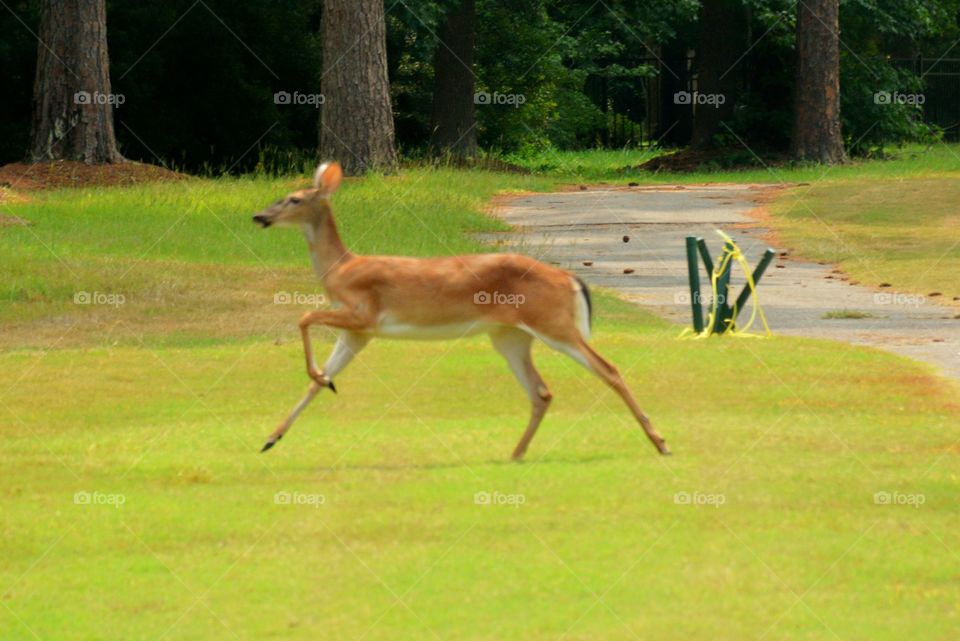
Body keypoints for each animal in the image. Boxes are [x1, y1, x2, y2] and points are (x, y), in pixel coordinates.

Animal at [251, 161, 672, 460]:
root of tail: (570, 278)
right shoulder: (358, 333)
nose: (259, 216)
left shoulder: (364, 314)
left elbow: (304, 317)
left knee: (608, 369)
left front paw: (318, 382)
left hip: (552, 322)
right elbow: (316, 377)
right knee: (542, 391)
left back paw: (661, 442)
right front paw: (272, 437)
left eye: (293, 198)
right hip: (509, 336)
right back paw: (516, 453)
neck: (340, 269)